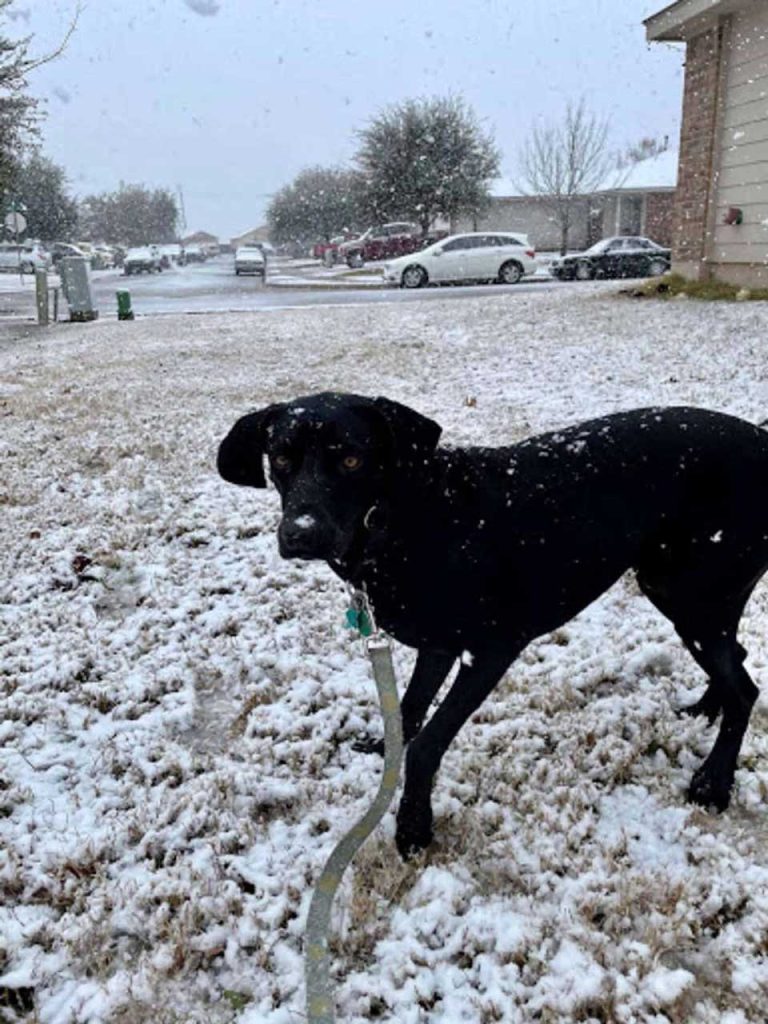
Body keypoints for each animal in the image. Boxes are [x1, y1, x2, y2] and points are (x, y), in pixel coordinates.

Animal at [217, 391, 768, 856]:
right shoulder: (438, 644)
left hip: (690, 593)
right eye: (281, 459)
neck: (410, 519)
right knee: (734, 661)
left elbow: (427, 744)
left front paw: (413, 826)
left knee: (745, 689)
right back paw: (705, 710)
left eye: (351, 459)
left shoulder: (492, 650)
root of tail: (761, 441)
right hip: (695, 593)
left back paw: (714, 782)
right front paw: (384, 748)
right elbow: (410, 708)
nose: (300, 534)